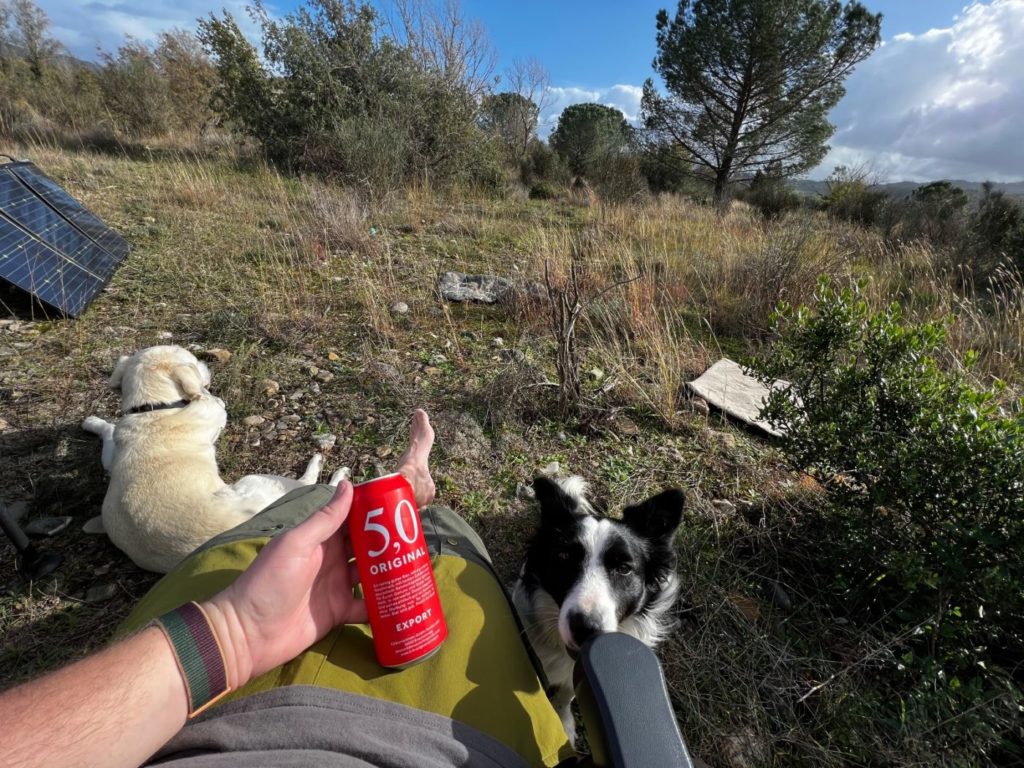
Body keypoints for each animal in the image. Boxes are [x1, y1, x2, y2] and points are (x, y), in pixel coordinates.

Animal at [83, 346, 348, 573]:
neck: (153, 409)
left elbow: (109, 432)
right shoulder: (217, 412)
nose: (205, 363)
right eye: (192, 361)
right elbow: (214, 401)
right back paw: (329, 470)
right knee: (311, 484)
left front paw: (92, 422)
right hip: (261, 481)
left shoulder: (111, 456)